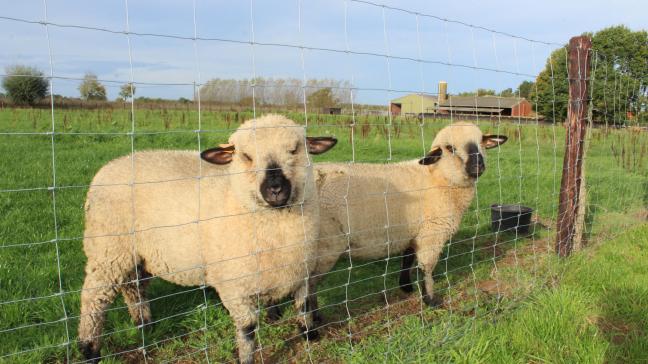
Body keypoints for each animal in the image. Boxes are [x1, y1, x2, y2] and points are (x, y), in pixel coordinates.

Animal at [78, 114, 336, 364]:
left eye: (294, 150)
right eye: (246, 156)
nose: (275, 188)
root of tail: (110, 166)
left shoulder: (299, 269)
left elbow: (303, 307)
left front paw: (310, 334)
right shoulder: (235, 285)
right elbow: (247, 328)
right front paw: (246, 357)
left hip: (136, 253)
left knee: (134, 287)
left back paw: (145, 325)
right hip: (108, 249)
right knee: (93, 299)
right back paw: (89, 350)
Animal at [308, 121, 506, 316]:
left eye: (481, 142)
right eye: (450, 148)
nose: (478, 165)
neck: (439, 178)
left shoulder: (413, 232)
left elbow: (408, 258)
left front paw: (406, 286)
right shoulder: (431, 234)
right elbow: (426, 269)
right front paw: (429, 299)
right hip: (324, 247)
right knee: (308, 283)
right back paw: (313, 319)